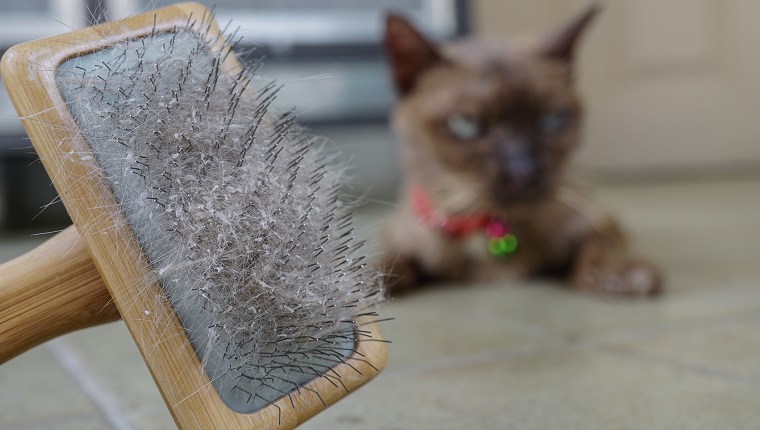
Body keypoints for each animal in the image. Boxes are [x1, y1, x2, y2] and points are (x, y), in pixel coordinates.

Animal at [380, 3, 660, 298]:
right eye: (466, 125)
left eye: (552, 119)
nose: (524, 172)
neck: (492, 230)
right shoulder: (398, 237)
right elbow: (388, 263)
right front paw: (371, 287)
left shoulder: (591, 227)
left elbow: (594, 252)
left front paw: (623, 276)